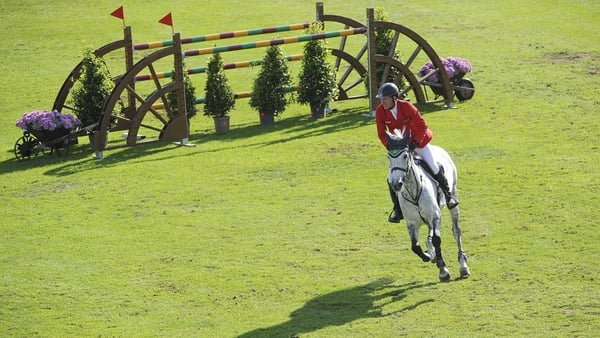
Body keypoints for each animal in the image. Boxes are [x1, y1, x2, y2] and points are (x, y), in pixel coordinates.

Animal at [386, 128, 472, 282]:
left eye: (405, 156)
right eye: (389, 157)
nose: (396, 184)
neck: (413, 190)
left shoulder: (434, 215)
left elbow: (437, 240)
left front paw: (443, 270)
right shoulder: (412, 223)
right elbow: (415, 246)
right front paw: (429, 255)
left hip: (453, 199)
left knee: (456, 231)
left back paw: (463, 266)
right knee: (430, 234)